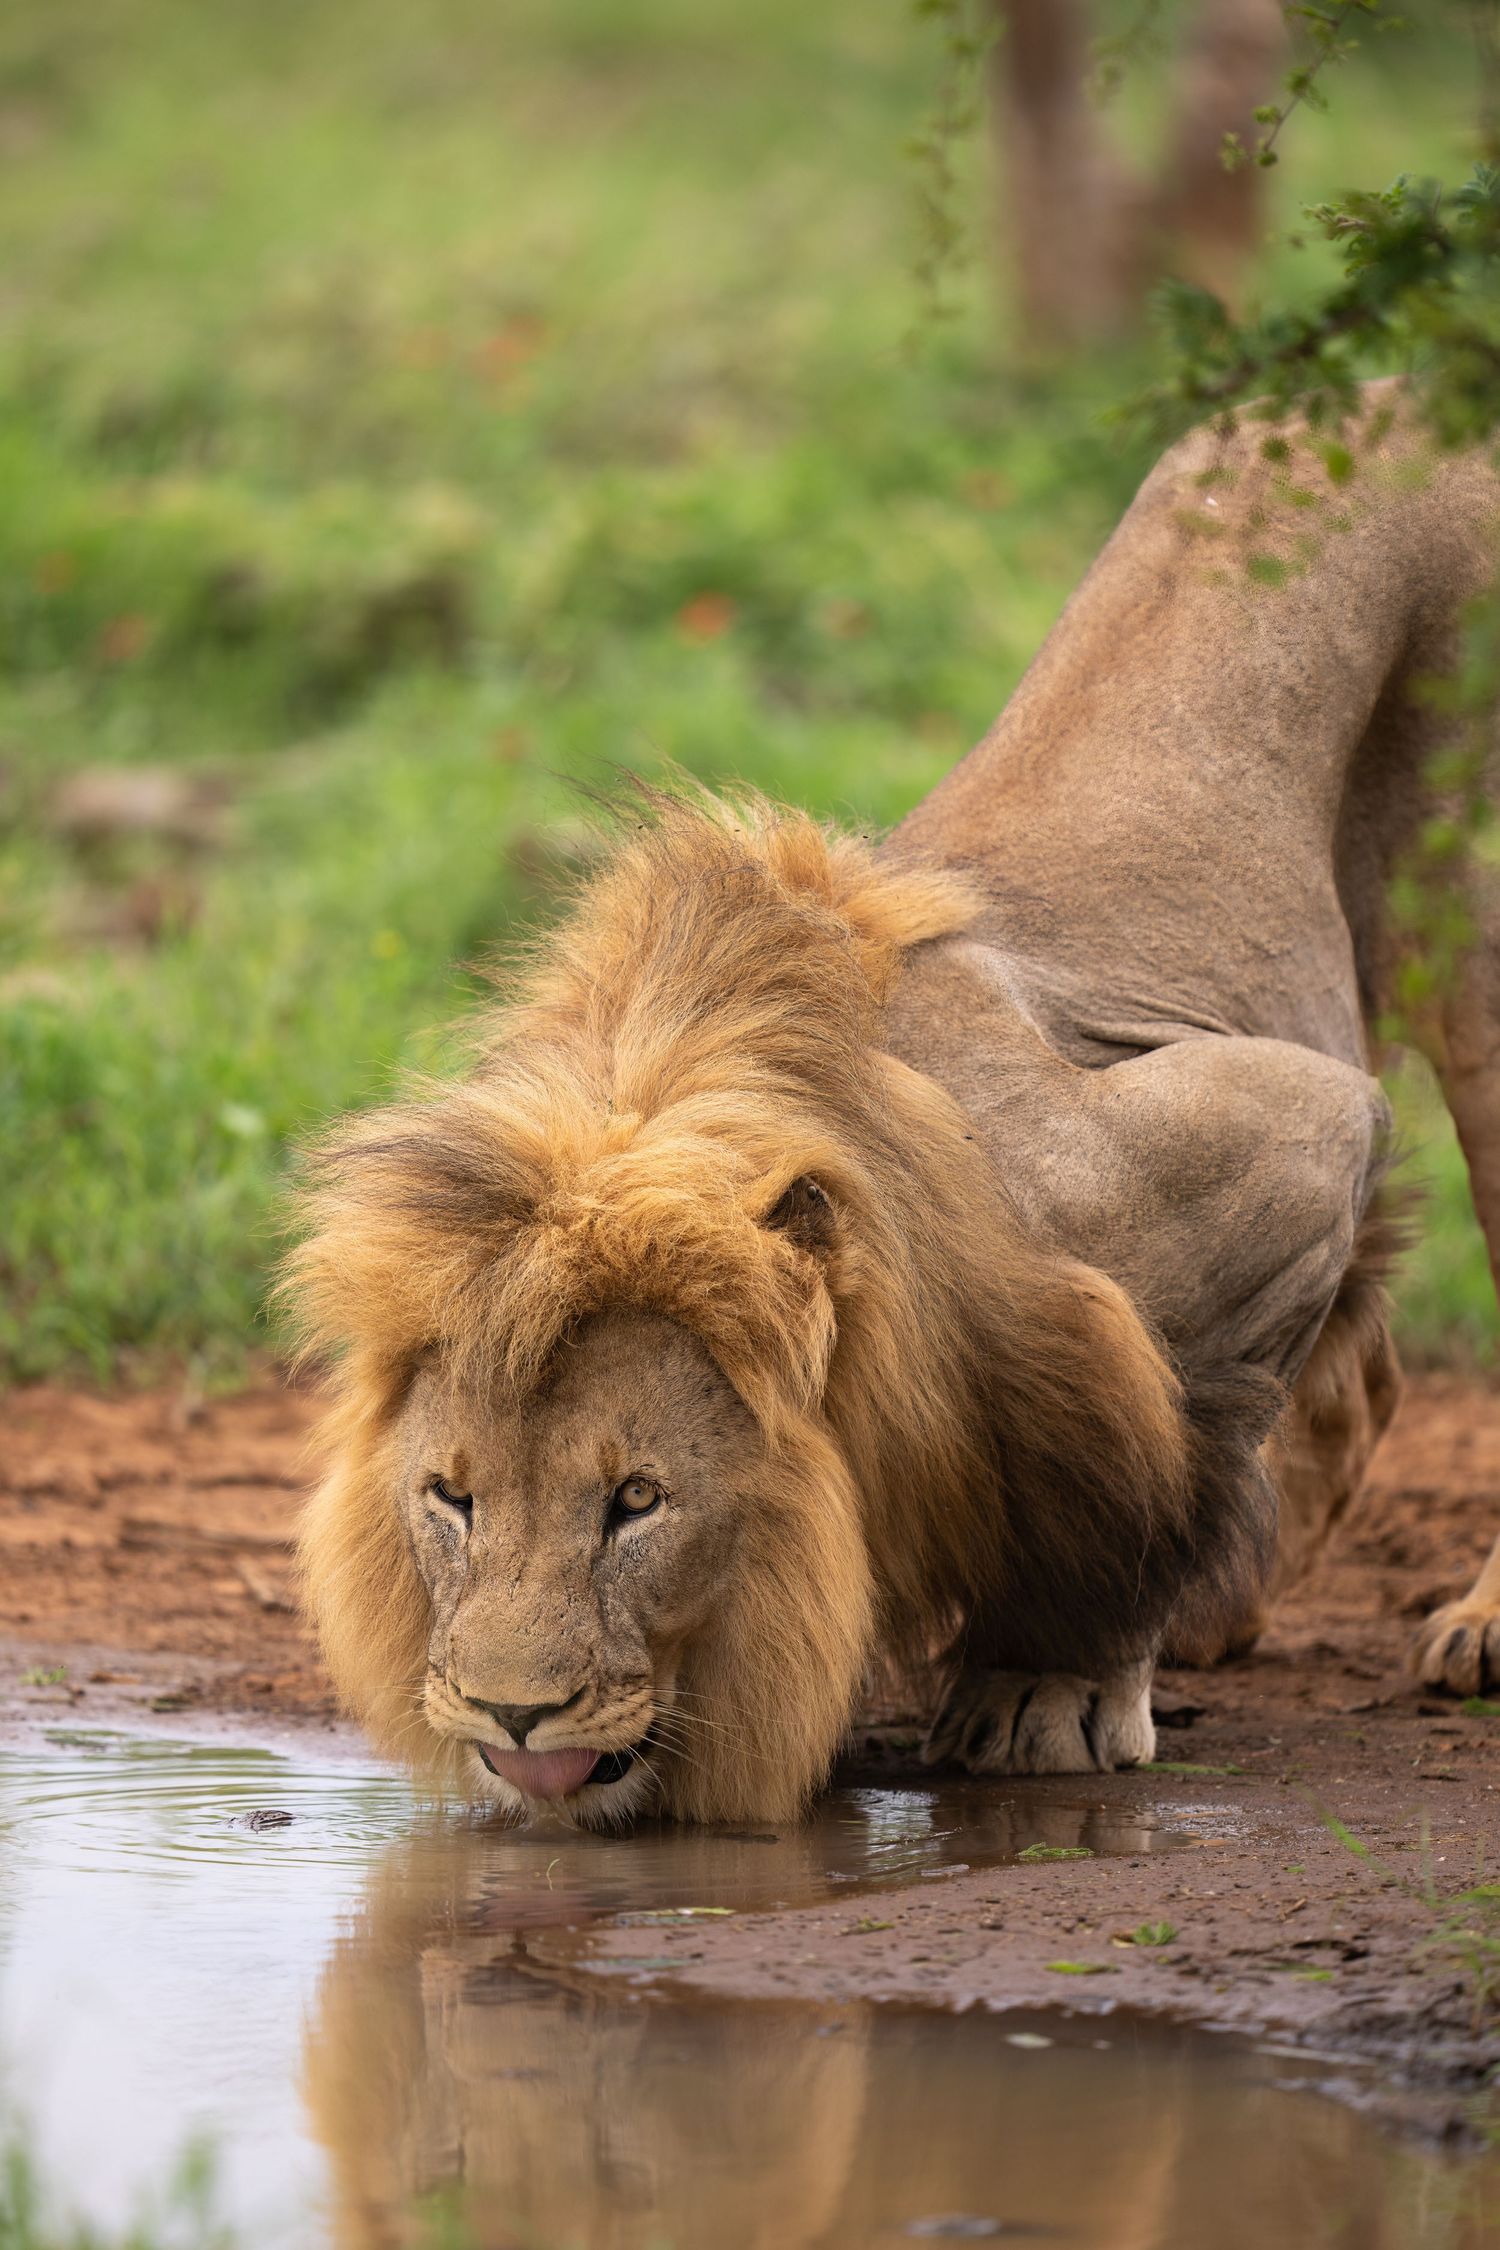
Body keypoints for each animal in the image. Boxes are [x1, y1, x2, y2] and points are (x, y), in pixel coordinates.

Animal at [288, 380, 1500, 1828]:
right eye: (449, 1499)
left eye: (636, 1500)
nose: (508, 1713)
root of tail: (1401, 377)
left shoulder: (1287, 1139)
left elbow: (1153, 1472)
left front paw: (1045, 1687)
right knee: (1365, 1373)